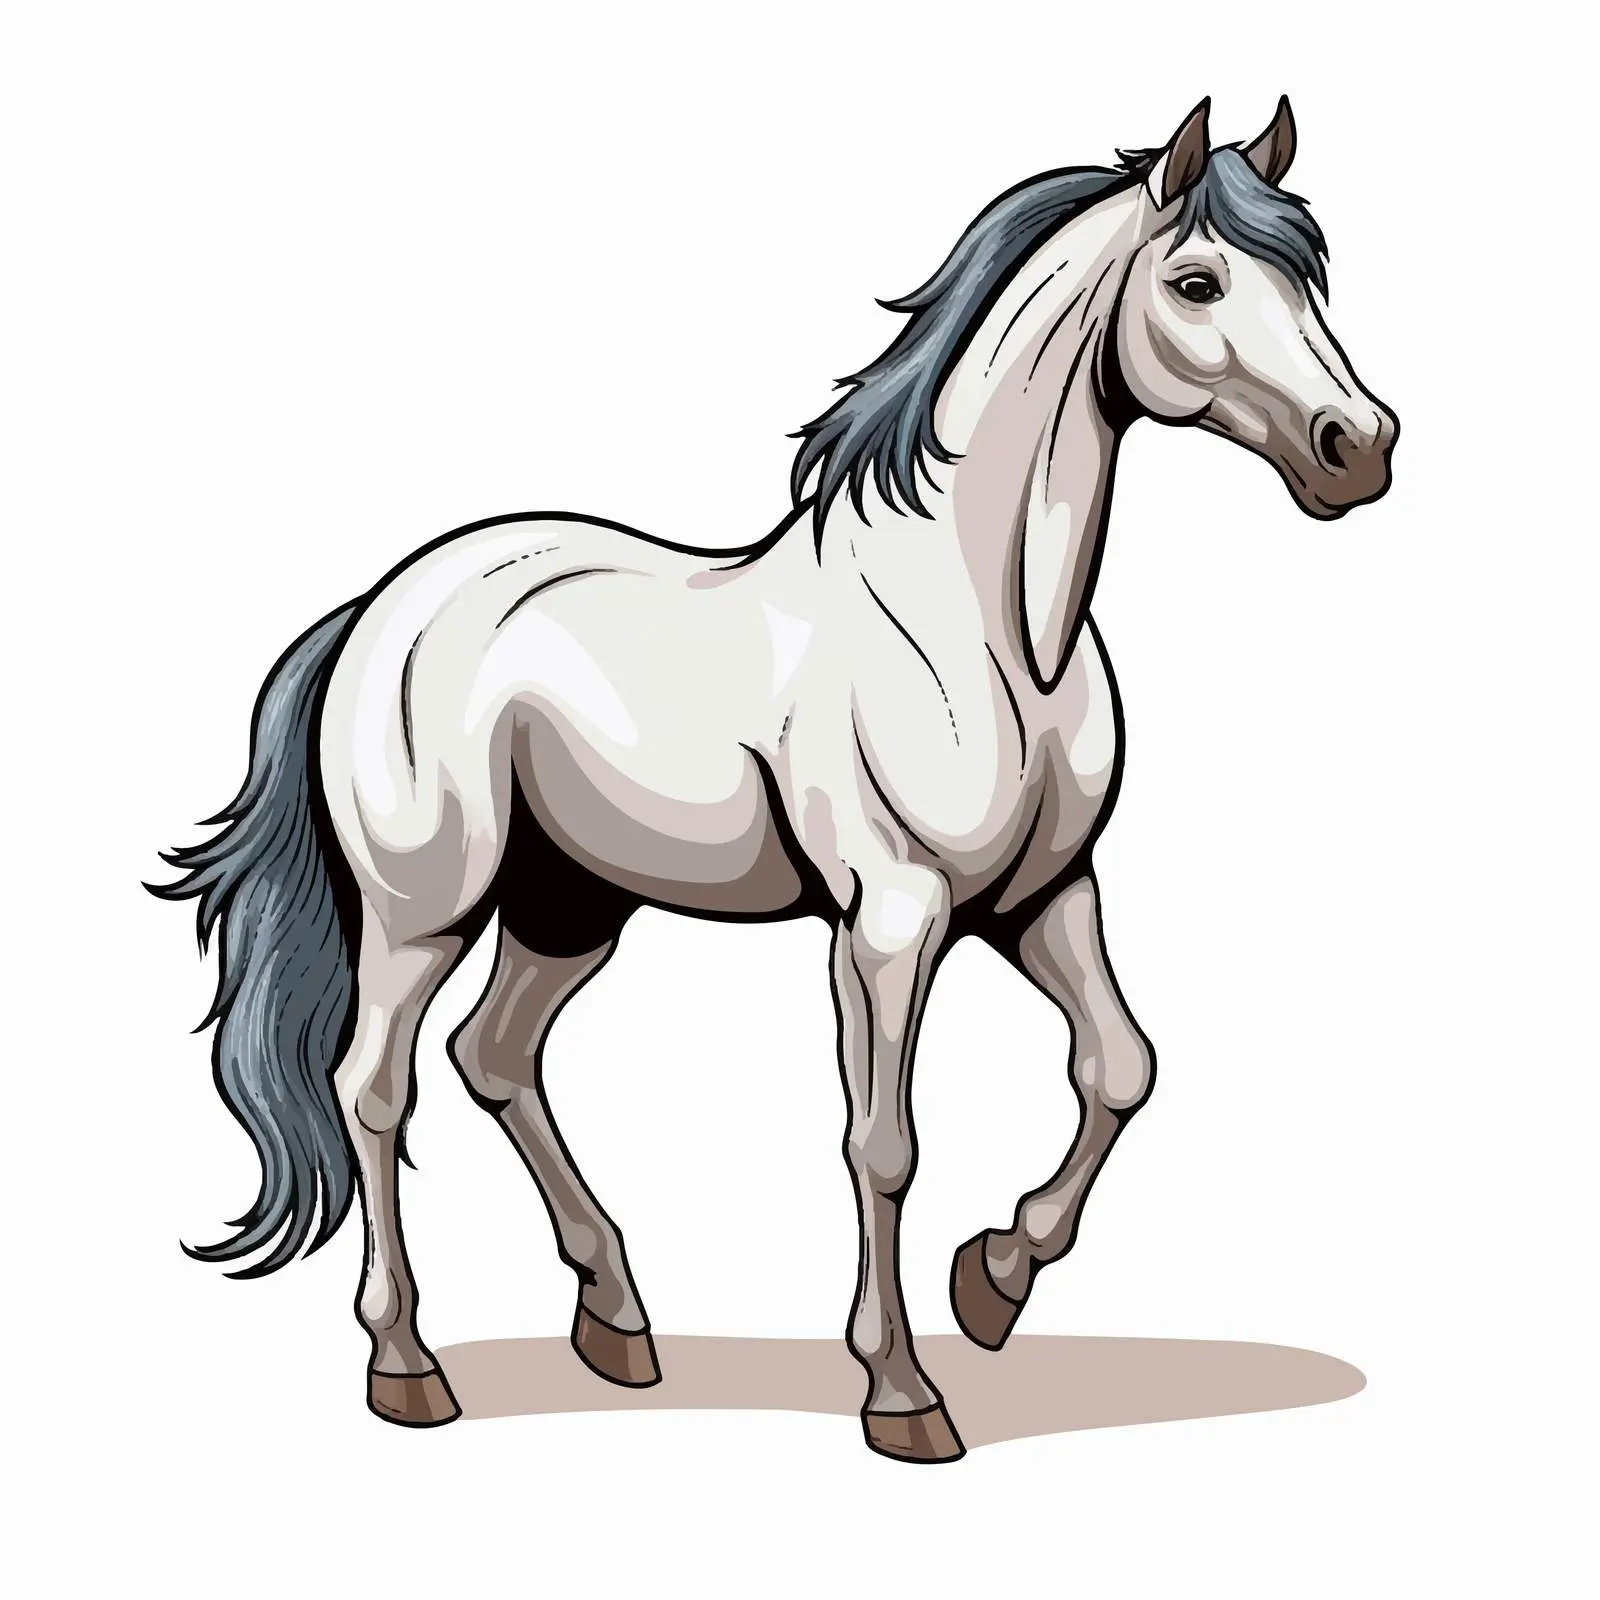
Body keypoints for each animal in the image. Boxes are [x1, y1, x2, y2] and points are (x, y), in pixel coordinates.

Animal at [153, 97, 1397, 1463]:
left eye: (1310, 277)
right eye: (1196, 281)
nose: (1359, 449)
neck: (984, 628)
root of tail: (380, 610)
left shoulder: (1043, 896)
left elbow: (1120, 1068)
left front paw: (995, 1280)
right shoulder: (891, 921)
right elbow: (883, 1143)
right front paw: (902, 1391)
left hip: (569, 907)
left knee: (496, 1056)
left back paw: (618, 1320)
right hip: (420, 915)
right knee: (375, 1091)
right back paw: (408, 1366)